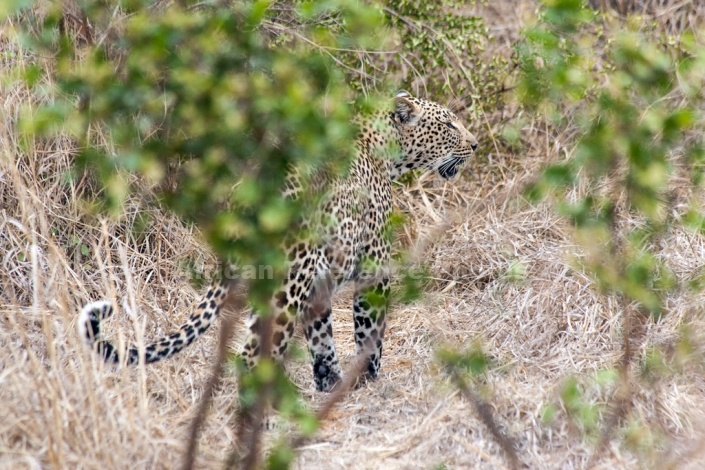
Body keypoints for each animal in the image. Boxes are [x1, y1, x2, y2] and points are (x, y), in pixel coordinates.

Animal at [80, 90, 482, 392]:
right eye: (448, 124)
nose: (476, 145)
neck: (385, 152)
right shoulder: (374, 266)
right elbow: (369, 331)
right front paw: (368, 380)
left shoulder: (320, 282)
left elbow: (322, 338)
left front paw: (330, 383)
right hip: (288, 281)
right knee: (252, 355)